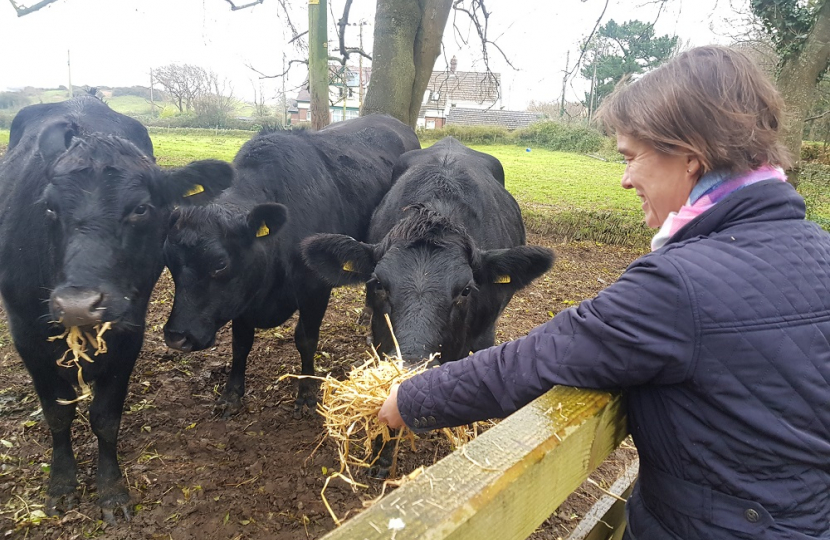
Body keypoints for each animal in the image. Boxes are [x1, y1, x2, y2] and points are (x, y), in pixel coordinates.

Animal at [0, 98, 232, 524]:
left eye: (141, 208)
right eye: (48, 208)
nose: (78, 304)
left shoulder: (129, 330)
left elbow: (106, 418)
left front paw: (111, 491)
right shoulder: (25, 332)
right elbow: (57, 414)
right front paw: (61, 485)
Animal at [162, 114, 422, 418]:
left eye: (220, 263)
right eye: (168, 260)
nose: (177, 337)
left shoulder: (315, 288)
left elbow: (306, 339)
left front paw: (307, 393)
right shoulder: (243, 296)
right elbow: (241, 343)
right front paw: (231, 393)